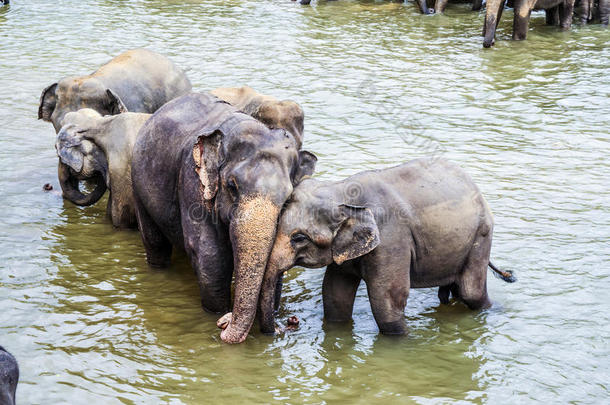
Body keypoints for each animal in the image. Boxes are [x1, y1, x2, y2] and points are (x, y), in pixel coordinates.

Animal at [131, 93, 316, 342]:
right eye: (231, 186)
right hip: (138, 182)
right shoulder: (192, 181)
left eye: (287, 198)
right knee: (155, 241)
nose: (290, 322)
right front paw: (216, 313)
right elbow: (210, 255)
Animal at [240, 156, 516, 336]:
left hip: (481, 235)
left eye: (299, 238)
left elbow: (388, 300)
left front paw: (403, 341)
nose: (284, 326)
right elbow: (335, 294)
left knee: (472, 292)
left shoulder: (392, 240)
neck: (343, 190)